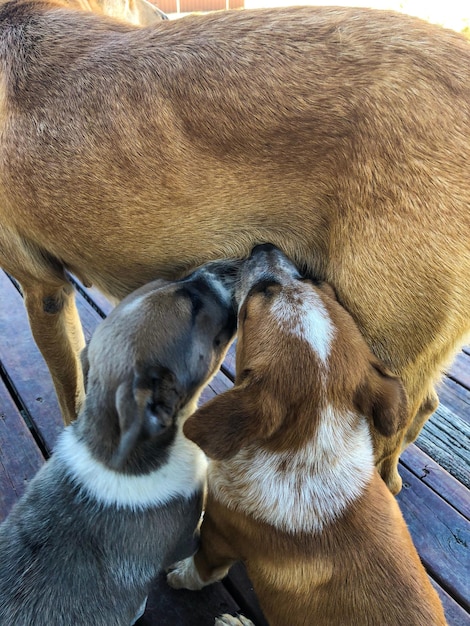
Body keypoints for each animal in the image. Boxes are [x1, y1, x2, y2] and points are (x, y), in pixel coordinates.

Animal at [167, 244, 446, 624]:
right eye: (315, 282)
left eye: (260, 295)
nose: (265, 246)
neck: (311, 452)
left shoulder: (217, 537)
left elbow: (198, 570)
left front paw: (178, 575)